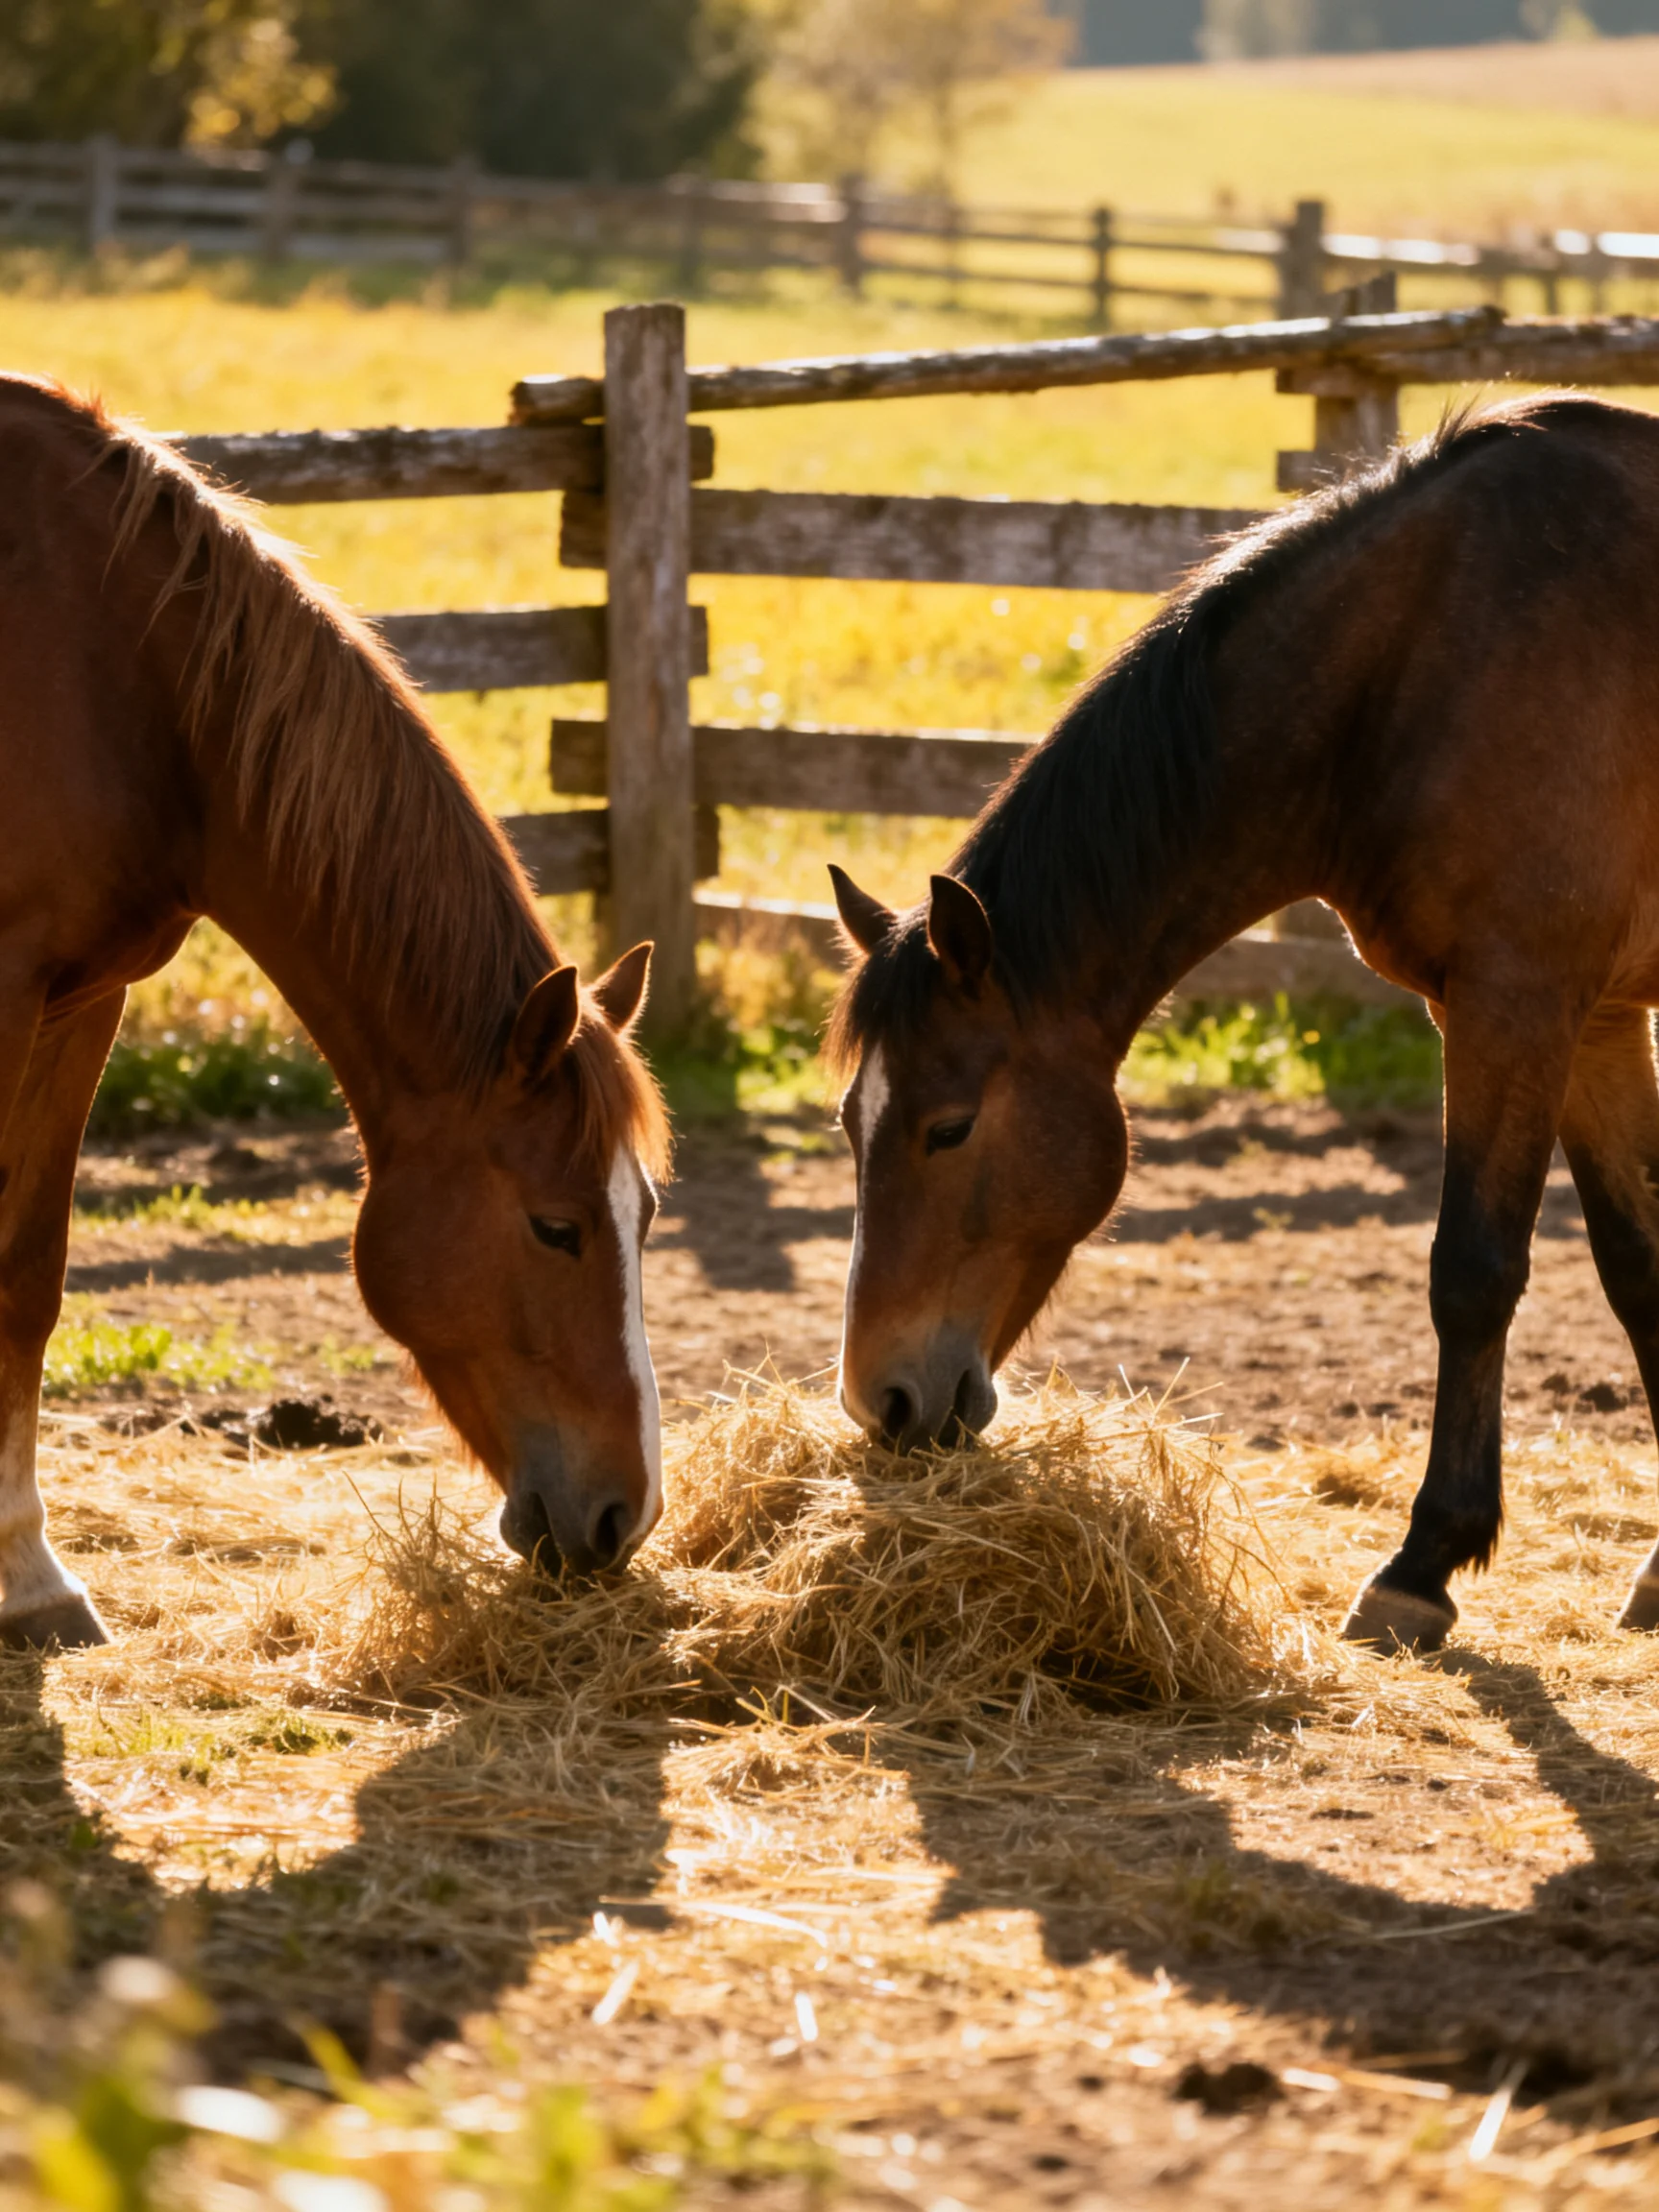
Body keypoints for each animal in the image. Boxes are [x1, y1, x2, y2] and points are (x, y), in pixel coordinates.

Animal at [0, 376, 671, 1650]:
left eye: (646, 1216)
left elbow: (30, 1274)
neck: (114, 664)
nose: (626, 1515)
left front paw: (29, 1576)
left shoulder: (80, 1003)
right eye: (556, 1226)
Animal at [826, 391, 1659, 1655]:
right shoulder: (1600, 1019)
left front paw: (1423, 1565)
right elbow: (1642, 1270)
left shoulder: (1516, 1003)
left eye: (950, 1127)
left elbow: (1472, 1272)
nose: (882, 1400)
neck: (1428, 655)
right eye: (846, 1122)